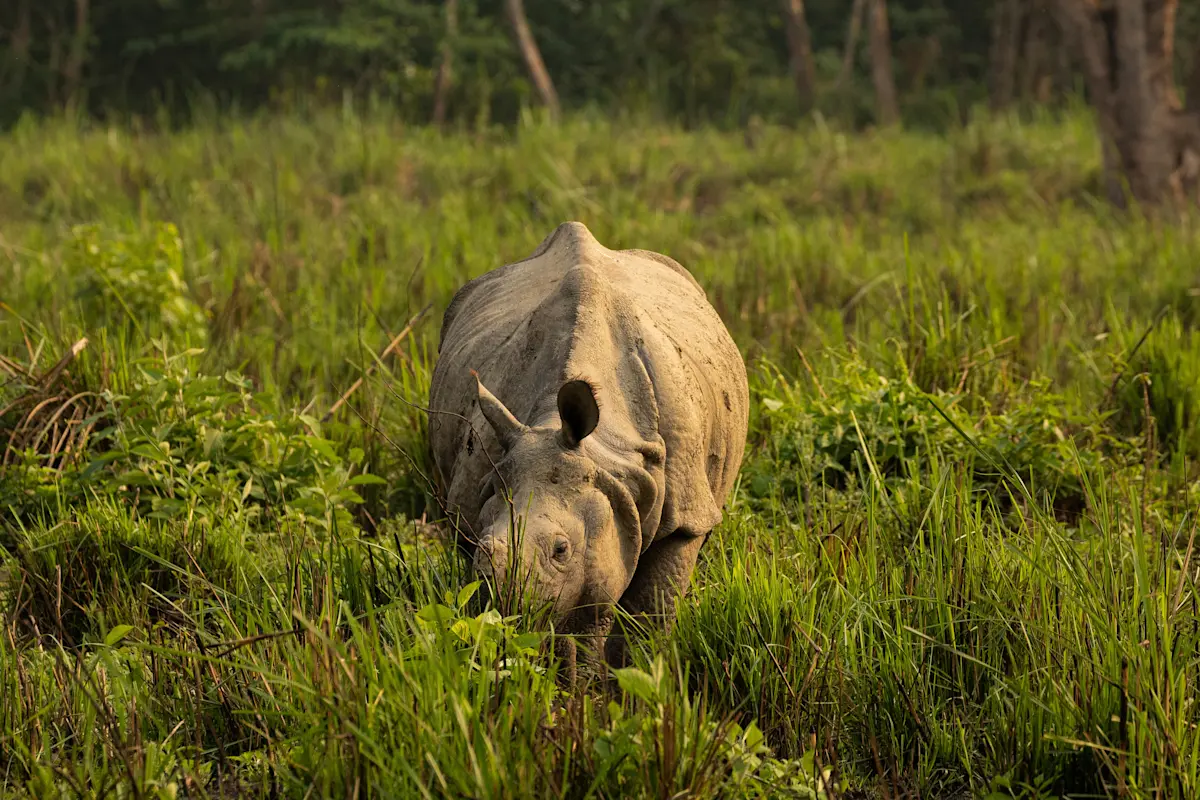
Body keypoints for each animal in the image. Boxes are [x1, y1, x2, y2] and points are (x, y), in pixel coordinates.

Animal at [427, 221, 748, 668]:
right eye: (481, 546)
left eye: (561, 550)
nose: (506, 610)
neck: (604, 450)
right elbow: (571, 629)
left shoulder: (682, 513)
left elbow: (647, 616)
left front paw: (635, 678)